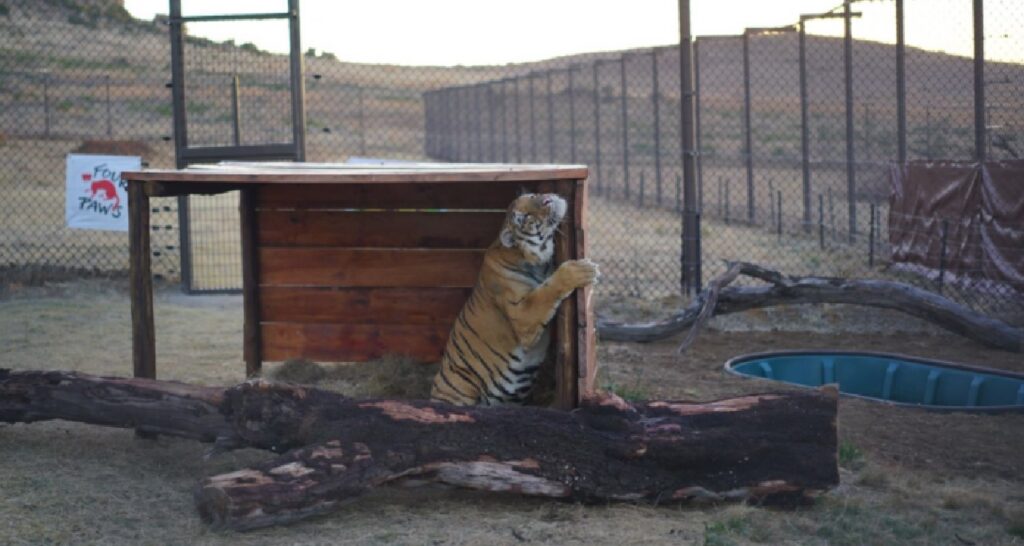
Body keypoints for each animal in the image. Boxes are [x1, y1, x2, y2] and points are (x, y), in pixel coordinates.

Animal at [430, 191, 598, 403]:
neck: (537, 263)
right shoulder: (522, 313)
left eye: (533, 196)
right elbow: (547, 290)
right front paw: (581, 270)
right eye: (525, 217)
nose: (547, 199)